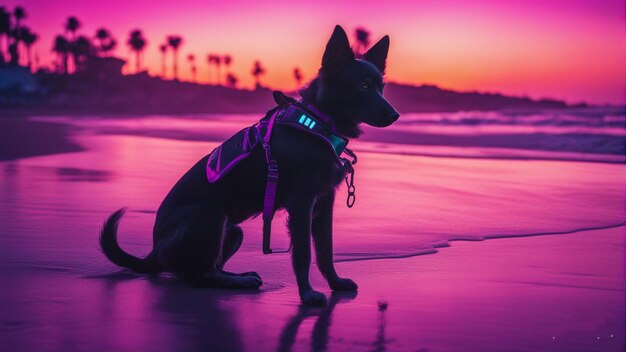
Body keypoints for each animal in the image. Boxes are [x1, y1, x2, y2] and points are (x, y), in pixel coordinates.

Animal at [99, 24, 398, 306]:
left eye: (380, 87)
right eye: (363, 86)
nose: (395, 115)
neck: (317, 122)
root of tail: (153, 253)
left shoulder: (324, 204)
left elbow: (326, 250)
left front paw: (334, 282)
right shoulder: (301, 204)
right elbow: (303, 253)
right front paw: (308, 295)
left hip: (233, 230)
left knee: (200, 272)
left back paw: (237, 277)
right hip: (209, 213)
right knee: (202, 276)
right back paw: (238, 282)